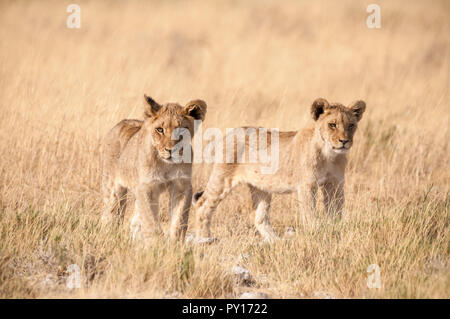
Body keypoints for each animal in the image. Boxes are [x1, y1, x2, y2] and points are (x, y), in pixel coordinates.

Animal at [101, 95, 207, 242]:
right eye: (160, 129)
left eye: (181, 130)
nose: (170, 150)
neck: (166, 164)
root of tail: (120, 123)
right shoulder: (147, 186)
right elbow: (150, 219)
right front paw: (154, 243)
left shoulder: (182, 185)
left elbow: (179, 219)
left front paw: (176, 244)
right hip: (112, 188)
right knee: (110, 215)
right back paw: (109, 236)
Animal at [193, 97, 366, 242]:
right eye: (332, 124)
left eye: (351, 125)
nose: (344, 141)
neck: (329, 154)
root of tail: (227, 134)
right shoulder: (307, 185)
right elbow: (310, 213)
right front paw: (317, 234)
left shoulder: (335, 185)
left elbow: (335, 212)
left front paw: (334, 232)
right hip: (223, 178)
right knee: (203, 204)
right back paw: (204, 239)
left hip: (261, 187)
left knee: (258, 216)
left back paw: (276, 241)